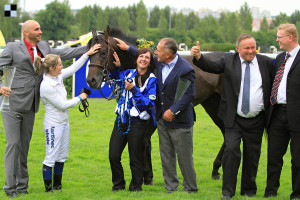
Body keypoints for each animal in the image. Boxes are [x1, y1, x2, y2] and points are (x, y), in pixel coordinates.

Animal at [86, 25, 225, 180]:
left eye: (103, 52)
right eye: (89, 52)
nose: (91, 80)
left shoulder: (155, 113)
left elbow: (144, 140)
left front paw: (147, 174)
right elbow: (145, 140)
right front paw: (147, 174)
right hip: (212, 104)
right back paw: (216, 168)